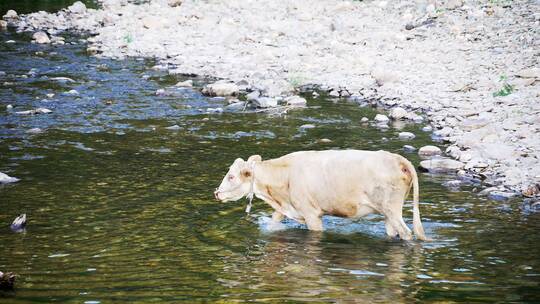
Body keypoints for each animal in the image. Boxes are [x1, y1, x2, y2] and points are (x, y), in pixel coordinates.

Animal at [213, 149, 428, 240]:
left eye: (231, 176)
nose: (216, 193)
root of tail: (397, 158)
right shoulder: (284, 208)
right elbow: (273, 223)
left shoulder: (311, 213)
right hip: (387, 212)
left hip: (391, 208)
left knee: (407, 233)